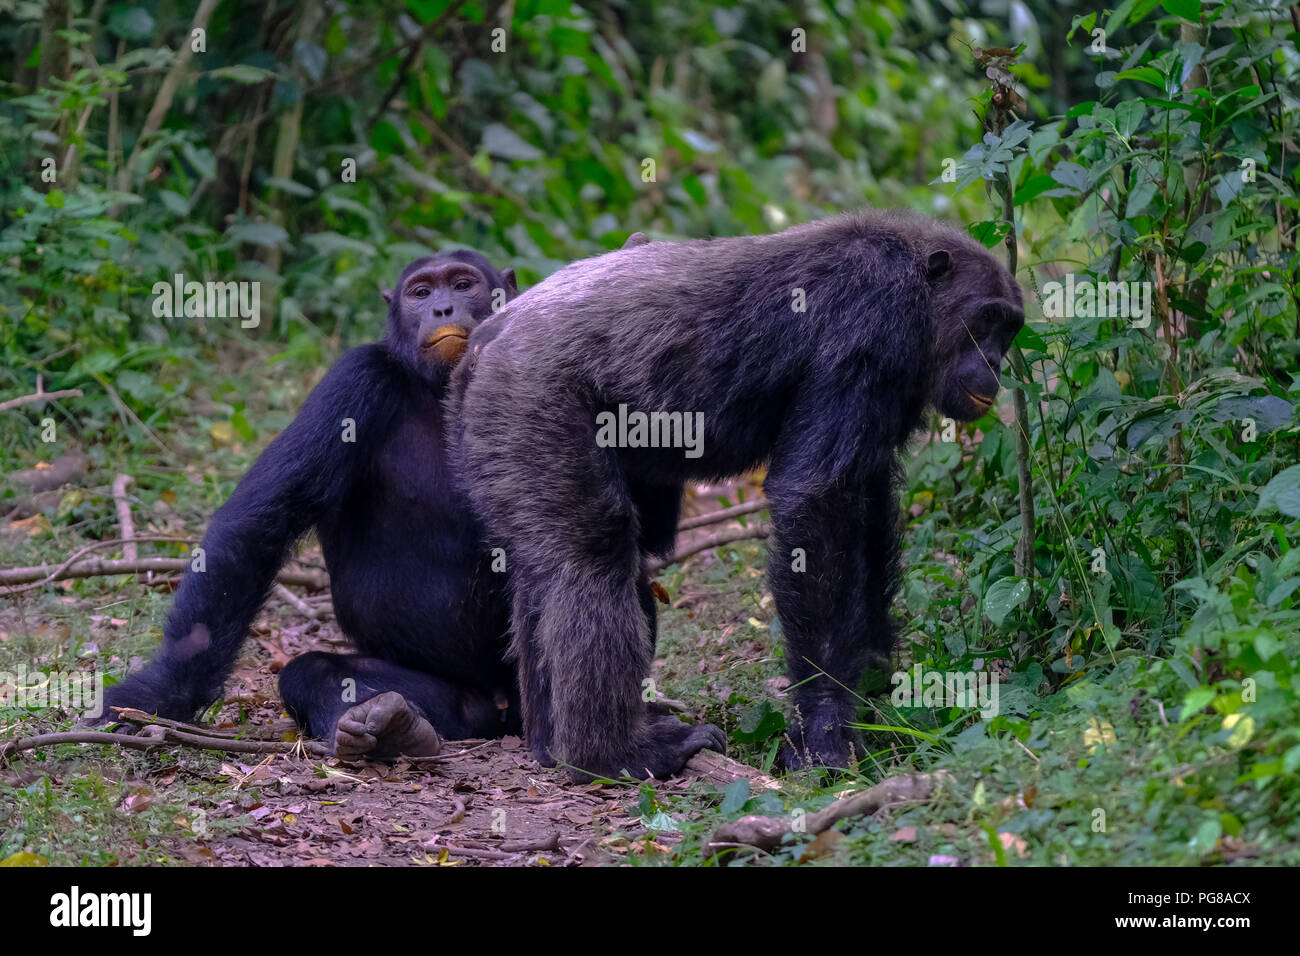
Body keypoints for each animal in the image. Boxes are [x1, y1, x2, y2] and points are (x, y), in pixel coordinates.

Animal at [100, 251, 522, 759]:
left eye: (462, 285)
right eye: (421, 293)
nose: (442, 308)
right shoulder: (353, 380)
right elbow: (263, 518)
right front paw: (161, 695)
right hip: (460, 703)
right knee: (313, 671)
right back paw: (385, 725)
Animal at [457, 209, 1024, 780]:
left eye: (1009, 328)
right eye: (986, 320)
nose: (995, 362)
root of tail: (484, 341)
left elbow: (867, 497)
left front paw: (876, 679)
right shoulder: (870, 320)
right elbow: (818, 502)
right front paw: (825, 729)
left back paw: (551, 744)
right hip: (533, 402)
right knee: (591, 556)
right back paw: (613, 754)